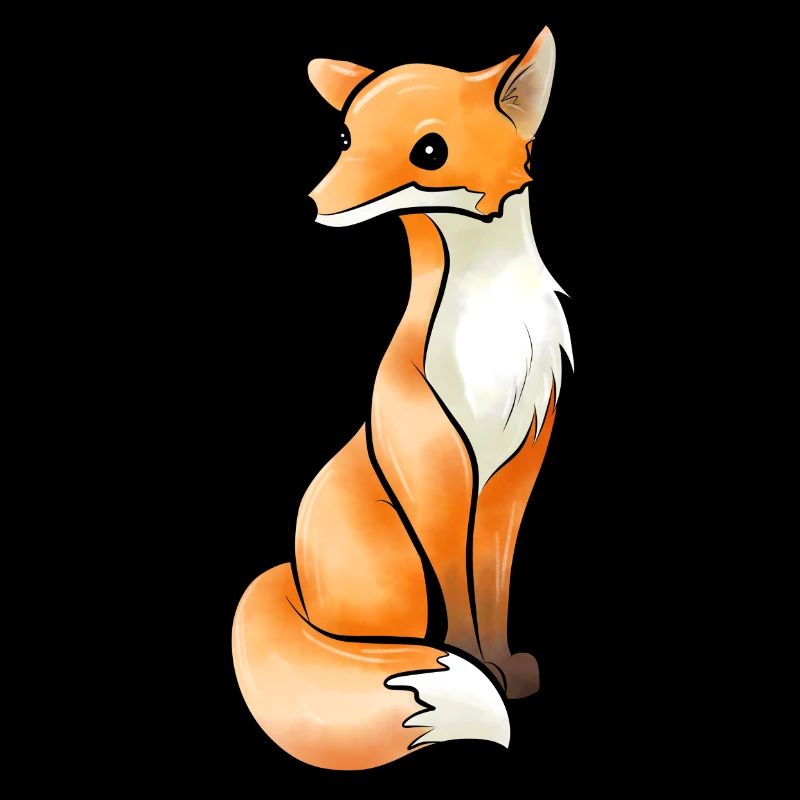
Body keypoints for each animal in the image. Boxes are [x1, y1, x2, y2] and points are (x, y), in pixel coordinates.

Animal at [232, 27, 573, 770]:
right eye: (343, 136)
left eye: (429, 151)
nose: (312, 201)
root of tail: (290, 577)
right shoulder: (436, 475)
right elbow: (461, 597)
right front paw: (475, 667)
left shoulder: (511, 476)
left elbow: (493, 586)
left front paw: (505, 669)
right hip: (395, 564)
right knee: (377, 639)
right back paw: (416, 654)